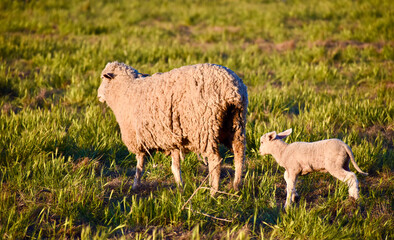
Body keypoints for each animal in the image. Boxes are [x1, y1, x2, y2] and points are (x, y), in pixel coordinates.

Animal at [97, 61, 248, 195]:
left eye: (103, 78)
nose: (98, 95)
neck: (125, 89)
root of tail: (232, 88)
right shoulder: (172, 139)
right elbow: (175, 166)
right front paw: (180, 187)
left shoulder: (137, 138)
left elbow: (140, 165)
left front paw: (135, 185)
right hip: (235, 123)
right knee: (239, 153)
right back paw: (236, 186)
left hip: (205, 128)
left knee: (215, 160)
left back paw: (213, 191)